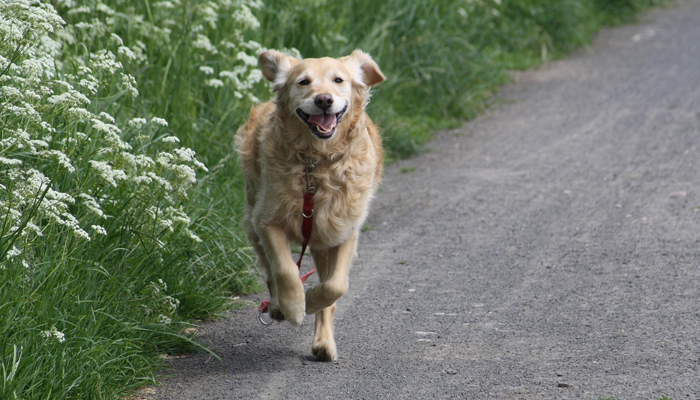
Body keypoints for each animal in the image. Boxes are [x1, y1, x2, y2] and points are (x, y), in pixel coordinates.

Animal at [238, 49, 386, 360]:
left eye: (338, 80)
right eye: (303, 82)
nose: (324, 100)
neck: (315, 163)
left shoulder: (344, 229)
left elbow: (335, 287)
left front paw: (312, 300)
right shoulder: (267, 221)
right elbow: (285, 270)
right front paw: (294, 306)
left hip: (321, 240)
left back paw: (323, 343)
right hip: (253, 219)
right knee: (270, 272)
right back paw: (277, 306)